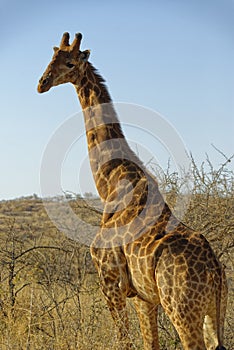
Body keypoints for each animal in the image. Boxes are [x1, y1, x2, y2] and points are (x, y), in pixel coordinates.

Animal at [37, 32, 228, 348]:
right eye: (50, 58)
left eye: (70, 62)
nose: (42, 83)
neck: (110, 182)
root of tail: (214, 270)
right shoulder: (143, 298)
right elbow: (150, 343)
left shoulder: (111, 283)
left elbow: (124, 341)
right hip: (216, 310)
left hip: (182, 310)